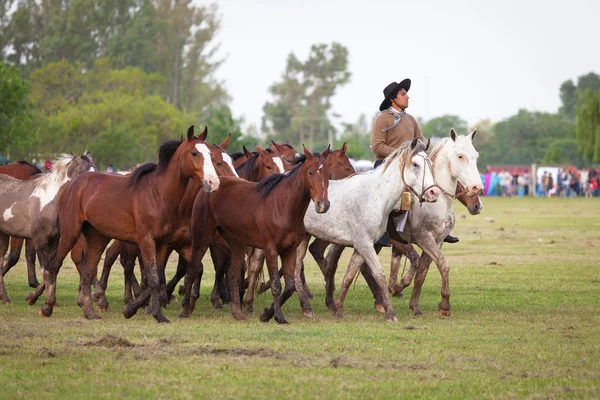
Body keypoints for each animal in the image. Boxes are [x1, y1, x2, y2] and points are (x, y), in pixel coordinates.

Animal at [0, 155, 95, 304]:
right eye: (81, 172)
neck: (47, 203)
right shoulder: (40, 240)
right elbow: (45, 270)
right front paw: (38, 298)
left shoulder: (54, 241)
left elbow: (52, 269)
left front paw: (39, 297)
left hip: (3, 235)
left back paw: (4, 298)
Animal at [35, 126, 218, 324]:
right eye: (194, 153)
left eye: (210, 154)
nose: (213, 182)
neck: (158, 194)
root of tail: (70, 185)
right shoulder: (146, 240)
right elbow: (153, 278)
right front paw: (157, 314)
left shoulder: (162, 243)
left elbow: (158, 279)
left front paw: (132, 309)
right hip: (70, 233)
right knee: (54, 265)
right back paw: (47, 307)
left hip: (97, 238)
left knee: (88, 272)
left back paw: (90, 312)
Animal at [182, 148, 332, 324]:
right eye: (310, 172)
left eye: (328, 173)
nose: (323, 205)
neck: (283, 206)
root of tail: (209, 188)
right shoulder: (270, 249)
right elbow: (276, 284)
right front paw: (279, 317)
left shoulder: (290, 250)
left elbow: (289, 286)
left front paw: (266, 314)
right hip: (202, 238)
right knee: (193, 269)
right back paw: (185, 310)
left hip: (236, 244)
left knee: (232, 275)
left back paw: (237, 313)